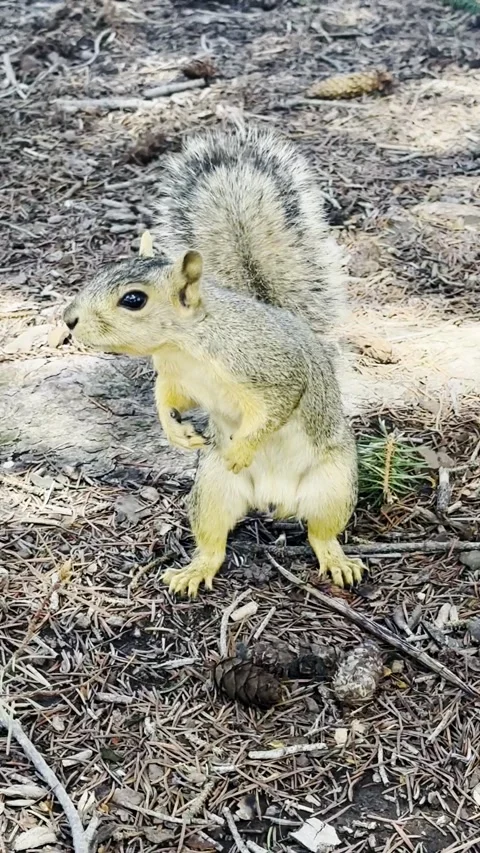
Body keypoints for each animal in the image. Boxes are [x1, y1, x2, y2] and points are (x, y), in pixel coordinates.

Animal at [63, 126, 364, 597]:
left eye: (134, 299)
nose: (69, 319)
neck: (185, 345)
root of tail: (274, 501)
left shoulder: (269, 366)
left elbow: (276, 407)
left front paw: (242, 447)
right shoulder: (174, 378)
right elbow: (169, 400)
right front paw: (175, 432)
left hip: (332, 486)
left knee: (322, 533)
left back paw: (337, 560)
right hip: (212, 490)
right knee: (213, 542)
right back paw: (194, 570)